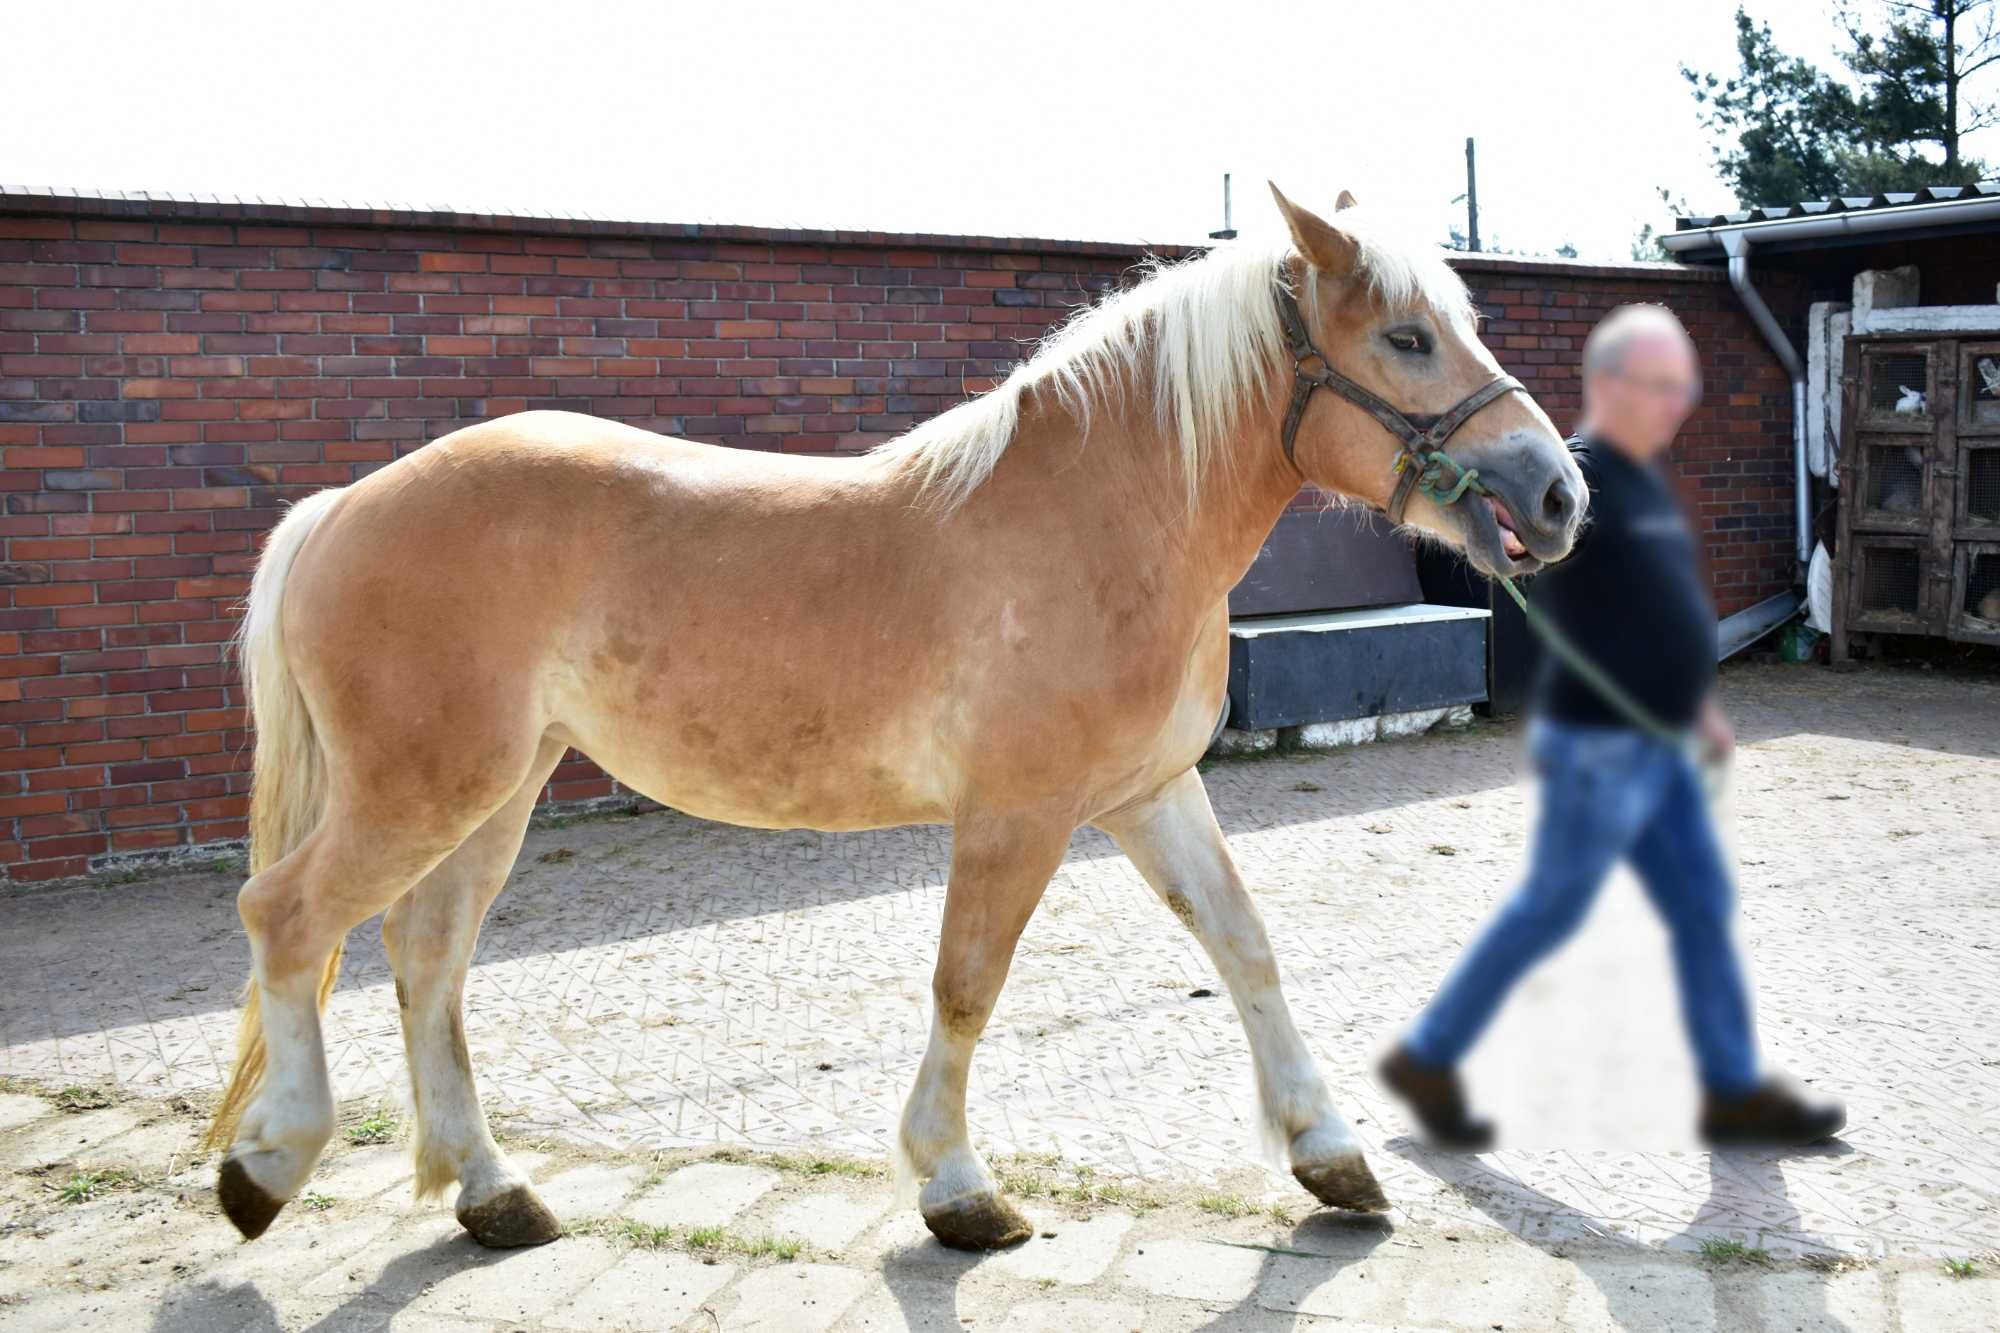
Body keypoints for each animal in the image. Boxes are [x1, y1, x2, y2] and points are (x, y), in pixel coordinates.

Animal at [203, 184, 1576, 1248]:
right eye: (1404, 337)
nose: (1556, 493)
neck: (1100, 515)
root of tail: (342, 507)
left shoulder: (1148, 792)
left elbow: (1243, 946)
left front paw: (1328, 1152)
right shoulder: (1018, 814)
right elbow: (967, 982)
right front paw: (958, 1186)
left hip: (495, 788)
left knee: (427, 954)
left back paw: (490, 1192)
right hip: (425, 786)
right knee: (287, 919)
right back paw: (267, 1164)